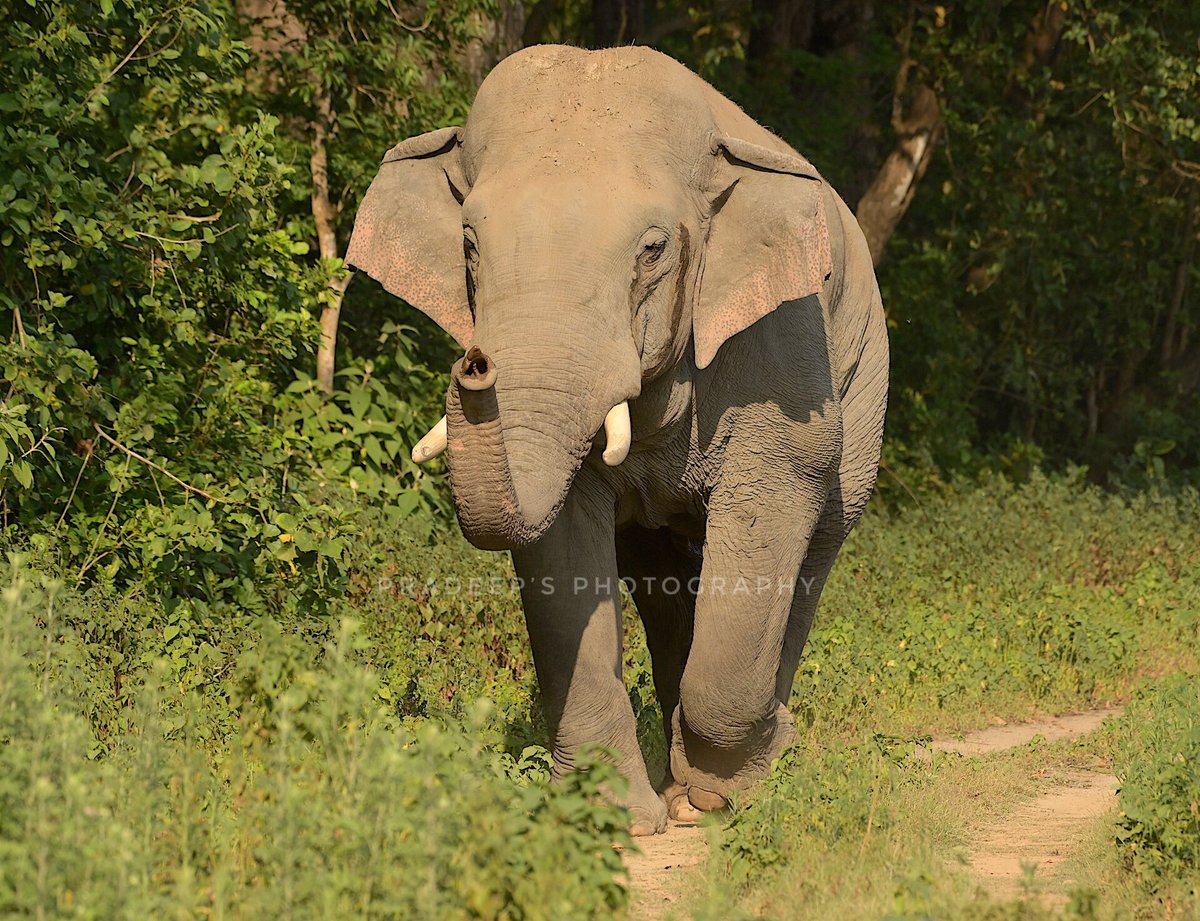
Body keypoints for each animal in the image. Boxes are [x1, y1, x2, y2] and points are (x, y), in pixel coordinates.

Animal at [343, 43, 888, 834]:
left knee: (811, 557)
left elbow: (775, 493)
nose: (475, 363)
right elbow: (563, 546)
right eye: (468, 244)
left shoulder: (783, 347)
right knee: (662, 584)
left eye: (654, 247)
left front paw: (727, 792)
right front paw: (614, 818)